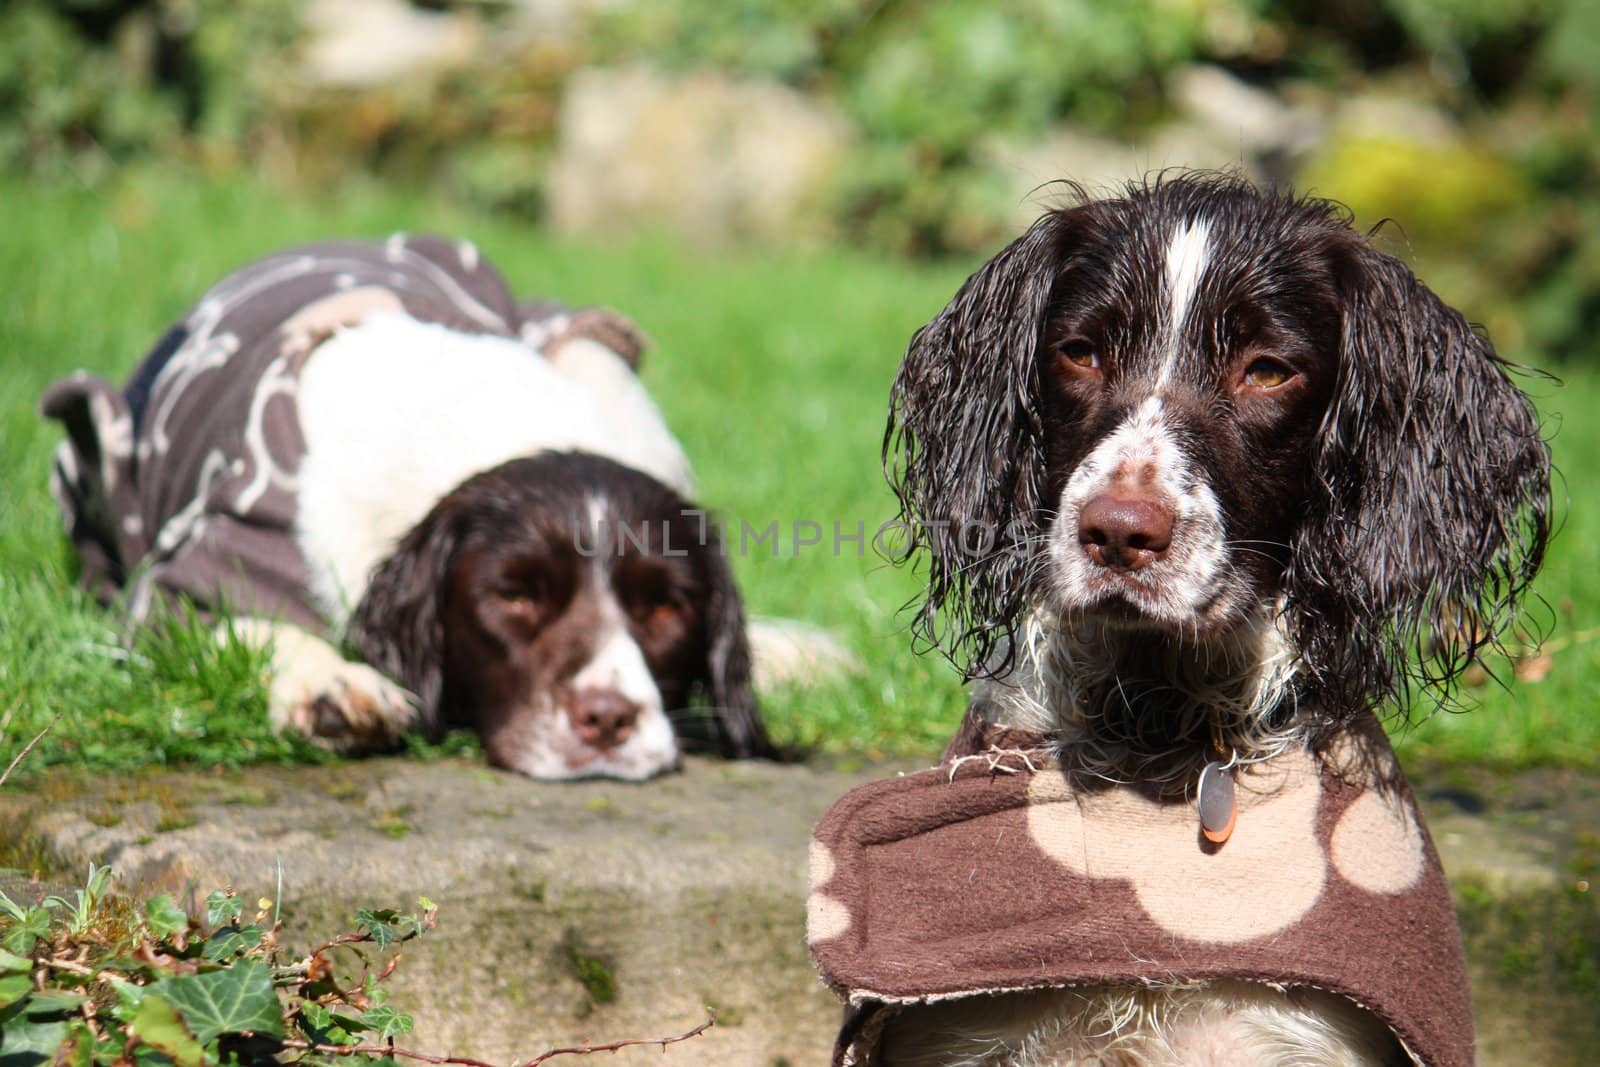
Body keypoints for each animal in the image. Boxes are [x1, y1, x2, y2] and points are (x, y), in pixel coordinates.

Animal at [46, 235, 771, 777]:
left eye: (667, 607)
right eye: (513, 595)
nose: (609, 717)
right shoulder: (182, 584)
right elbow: (242, 624)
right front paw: (333, 690)